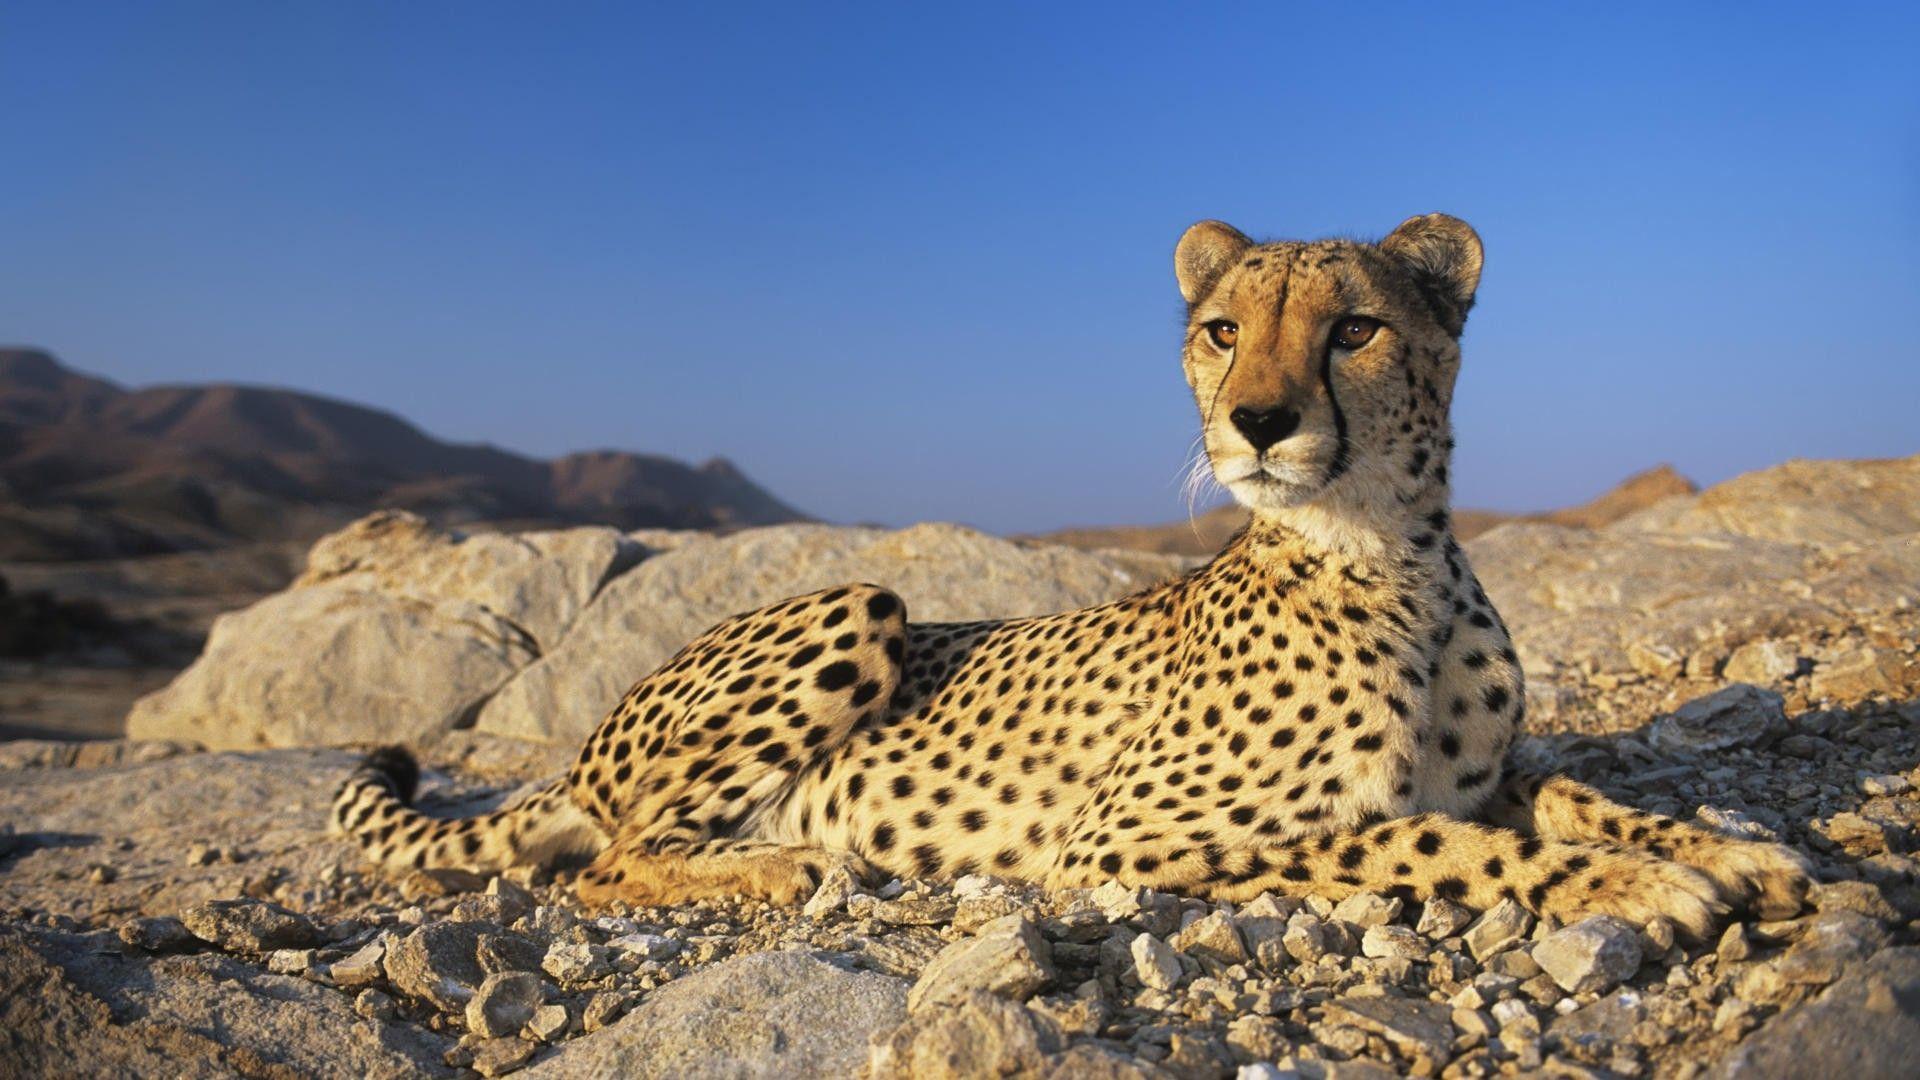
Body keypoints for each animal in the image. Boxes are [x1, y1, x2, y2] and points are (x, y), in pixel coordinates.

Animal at [332, 213, 1811, 937]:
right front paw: (1636, 889)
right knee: (607, 861)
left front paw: (1738, 854)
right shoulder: (1120, 842)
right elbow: (1423, 837)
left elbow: (1578, 795)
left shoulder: (1493, 764)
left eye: (1354, 330)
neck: (1389, 556)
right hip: (859, 603)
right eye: (1220, 330)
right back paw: (779, 868)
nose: (1256, 423)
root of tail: (586, 744)